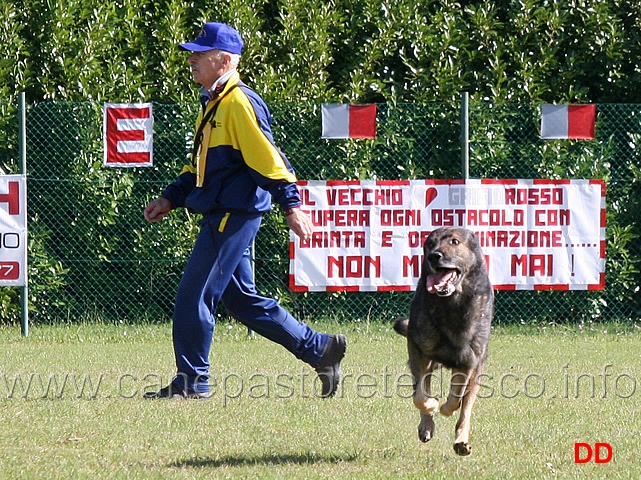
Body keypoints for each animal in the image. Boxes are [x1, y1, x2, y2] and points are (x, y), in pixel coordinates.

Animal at [392, 227, 492, 456]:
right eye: (429, 244)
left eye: (454, 242)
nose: (433, 256)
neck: (451, 304)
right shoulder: (418, 351)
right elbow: (420, 396)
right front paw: (432, 405)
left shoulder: (468, 361)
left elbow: (457, 398)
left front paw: (447, 409)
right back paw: (427, 425)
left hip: (476, 371)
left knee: (466, 408)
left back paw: (461, 442)